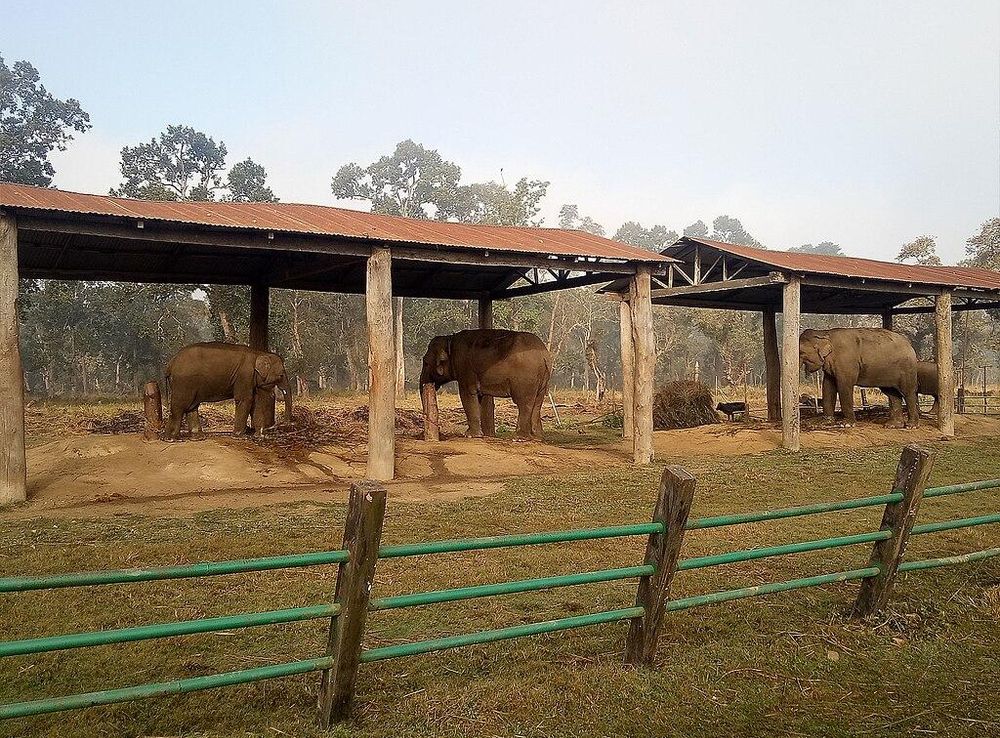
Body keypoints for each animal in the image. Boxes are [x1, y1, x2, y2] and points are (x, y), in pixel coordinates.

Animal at [164, 342, 292, 440]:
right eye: (281, 375)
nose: (285, 424)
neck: (260, 353)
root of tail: (170, 363)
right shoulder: (244, 375)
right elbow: (245, 400)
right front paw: (239, 435)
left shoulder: (251, 379)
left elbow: (255, 403)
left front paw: (260, 436)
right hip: (183, 382)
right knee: (179, 406)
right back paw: (172, 439)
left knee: (192, 406)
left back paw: (198, 437)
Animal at [420, 329, 552, 439]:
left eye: (425, 362)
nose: (438, 430)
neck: (450, 339)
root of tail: (544, 355)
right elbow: (480, 398)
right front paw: (481, 434)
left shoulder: (465, 369)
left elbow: (467, 395)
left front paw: (470, 435)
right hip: (542, 379)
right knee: (537, 402)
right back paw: (537, 437)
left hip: (525, 378)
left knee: (524, 403)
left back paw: (519, 437)